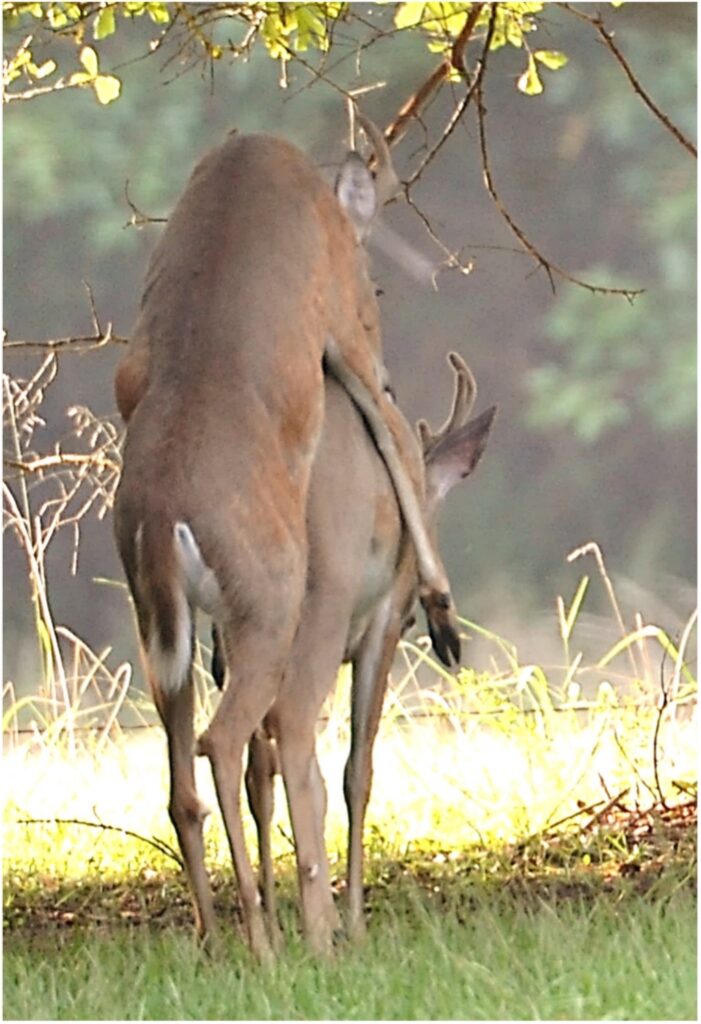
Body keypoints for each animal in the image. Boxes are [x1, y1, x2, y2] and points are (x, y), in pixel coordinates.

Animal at [112, 119, 462, 958]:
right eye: (376, 284)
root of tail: (159, 520)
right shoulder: (346, 317)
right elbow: (390, 424)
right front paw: (443, 609)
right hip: (272, 598)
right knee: (242, 736)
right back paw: (284, 943)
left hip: (161, 629)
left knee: (182, 780)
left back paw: (220, 940)